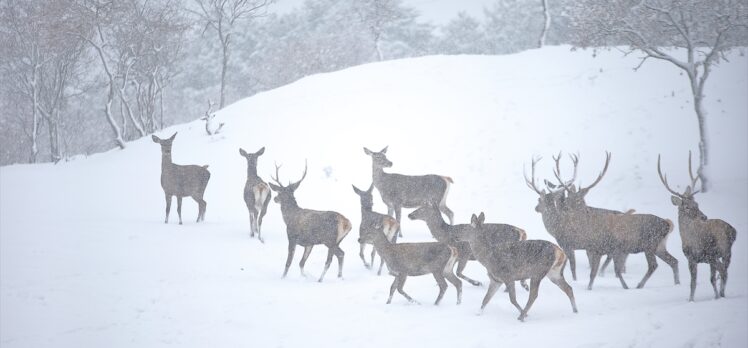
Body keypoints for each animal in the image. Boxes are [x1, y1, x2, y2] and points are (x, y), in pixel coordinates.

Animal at [656, 152, 732, 302]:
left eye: (697, 204)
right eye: (687, 206)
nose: (704, 216)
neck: (686, 236)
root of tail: (731, 231)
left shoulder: (692, 257)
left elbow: (693, 283)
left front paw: (690, 300)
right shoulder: (698, 259)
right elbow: (708, 279)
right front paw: (714, 296)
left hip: (713, 253)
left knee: (723, 272)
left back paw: (722, 296)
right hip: (726, 253)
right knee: (723, 272)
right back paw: (721, 295)